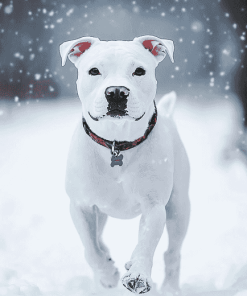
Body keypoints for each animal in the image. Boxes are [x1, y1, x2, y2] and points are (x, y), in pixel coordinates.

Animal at [60, 35, 191, 294]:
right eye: (94, 71)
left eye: (139, 71)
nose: (117, 92)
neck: (117, 143)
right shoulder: (81, 205)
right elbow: (90, 248)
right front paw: (107, 274)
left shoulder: (154, 206)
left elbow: (147, 242)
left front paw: (138, 273)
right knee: (97, 241)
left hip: (180, 207)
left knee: (173, 253)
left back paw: (170, 287)